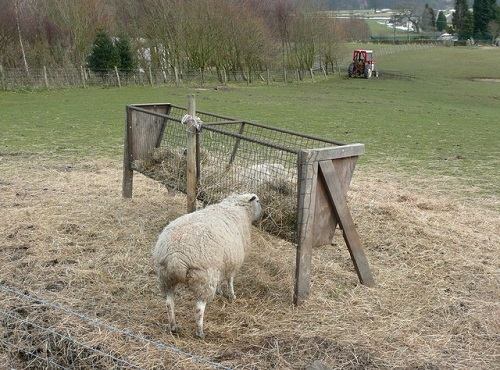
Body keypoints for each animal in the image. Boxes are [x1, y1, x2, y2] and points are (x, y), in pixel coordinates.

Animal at [151, 194, 262, 338]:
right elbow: (230, 280)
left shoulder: (222, 264)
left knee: (169, 303)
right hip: (204, 278)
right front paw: (232, 296)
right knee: (199, 308)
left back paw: (174, 327)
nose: (262, 215)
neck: (237, 208)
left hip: (165, 277)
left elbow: (221, 280)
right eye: (258, 201)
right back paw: (200, 332)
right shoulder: (232, 262)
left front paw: (220, 291)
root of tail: (176, 257)